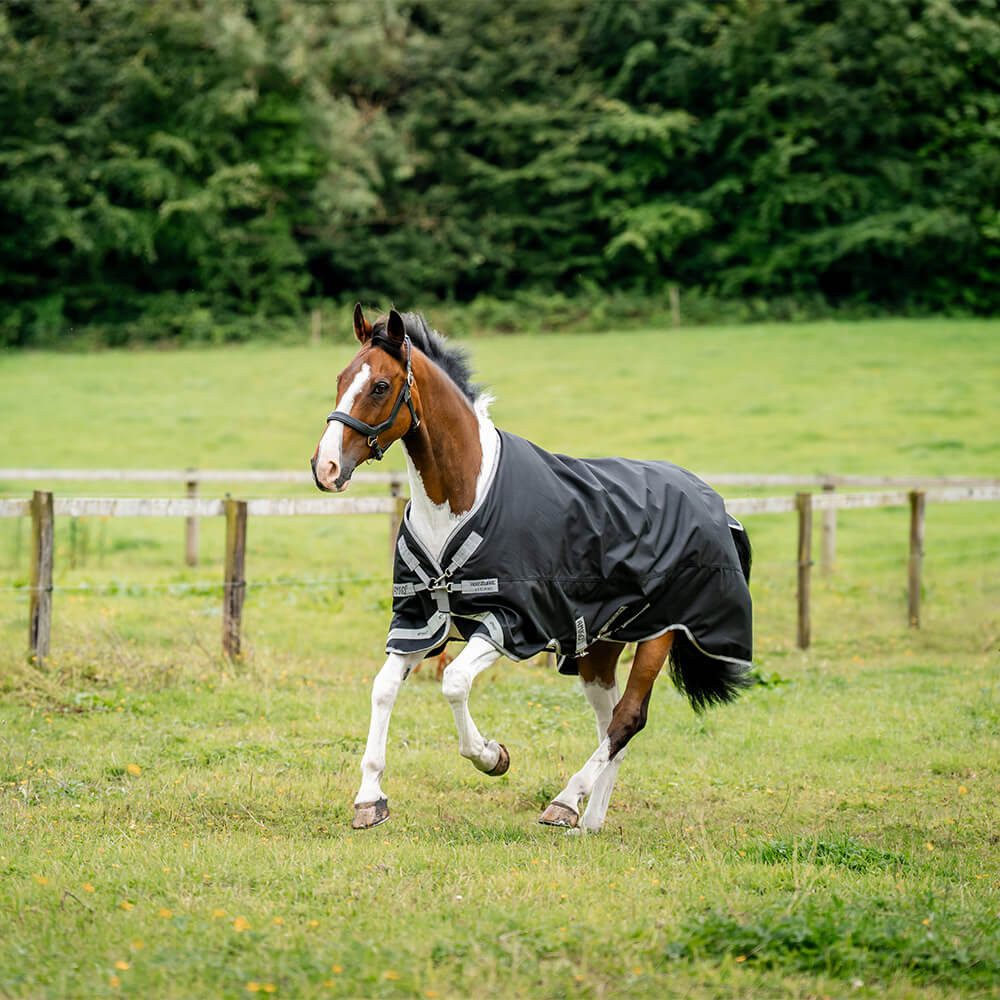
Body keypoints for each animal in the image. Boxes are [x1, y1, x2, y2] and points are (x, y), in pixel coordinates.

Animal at [312, 306, 753, 832]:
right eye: (340, 379)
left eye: (380, 385)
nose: (325, 468)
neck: (459, 499)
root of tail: (713, 501)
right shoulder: (420, 621)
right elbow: (383, 689)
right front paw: (369, 800)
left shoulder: (509, 623)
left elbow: (454, 683)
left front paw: (492, 756)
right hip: (598, 647)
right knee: (611, 726)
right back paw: (589, 821)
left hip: (660, 633)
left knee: (628, 718)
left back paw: (565, 802)